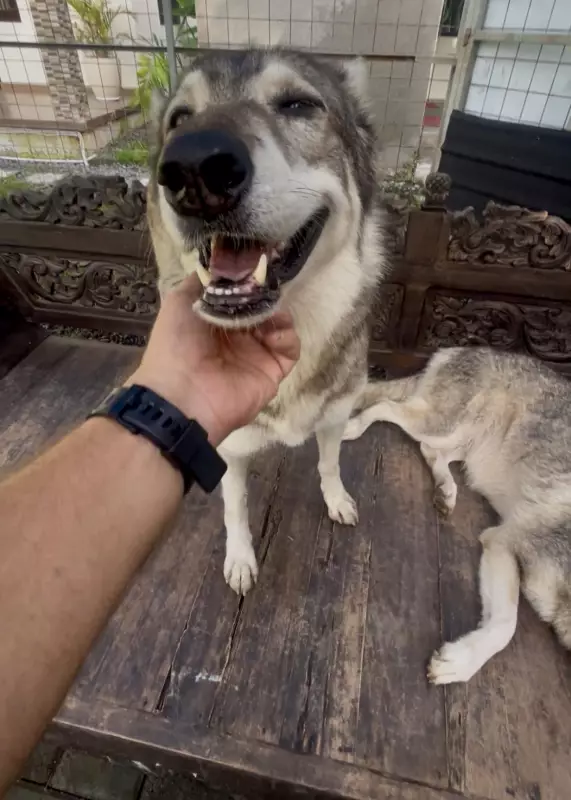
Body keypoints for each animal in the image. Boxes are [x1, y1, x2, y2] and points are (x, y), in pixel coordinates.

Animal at [147, 48, 386, 595]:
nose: (194, 167)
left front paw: (337, 500)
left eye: (298, 104)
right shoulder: (232, 449)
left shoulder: (335, 415)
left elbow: (328, 462)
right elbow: (234, 509)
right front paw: (240, 560)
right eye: (179, 120)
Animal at [345, 347, 571, 683]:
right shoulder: (502, 542)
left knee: (429, 450)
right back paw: (352, 428)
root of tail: (461, 348)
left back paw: (446, 491)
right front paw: (460, 663)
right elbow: (505, 627)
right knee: (386, 408)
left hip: (466, 444)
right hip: (443, 426)